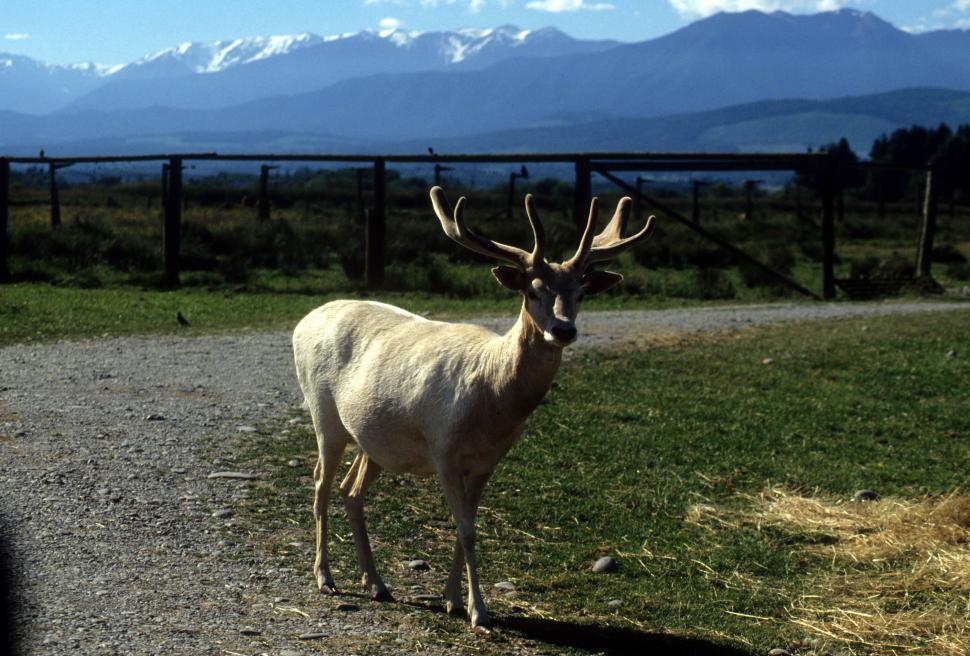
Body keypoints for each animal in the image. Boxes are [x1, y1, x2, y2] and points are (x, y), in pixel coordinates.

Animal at [292, 186, 655, 628]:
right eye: (532, 291)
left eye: (581, 294)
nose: (563, 329)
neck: (492, 402)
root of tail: (304, 321)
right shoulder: (443, 449)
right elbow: (465, 528)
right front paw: (479, 611)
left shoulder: (488, 460)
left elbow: (466, 524)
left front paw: (453, 600)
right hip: (324, 416)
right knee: (320, 484)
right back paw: (325, 577)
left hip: (375, 440)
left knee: (351, 489)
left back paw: (375, 583)